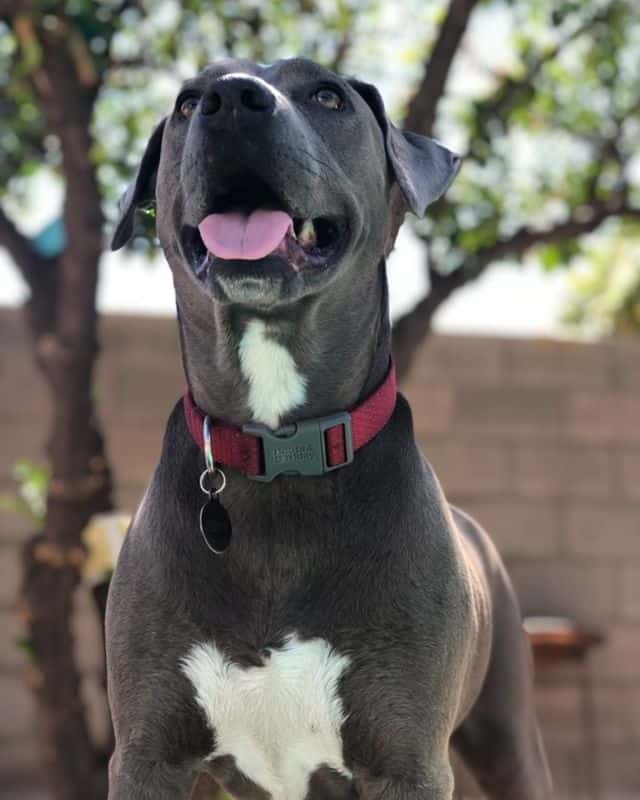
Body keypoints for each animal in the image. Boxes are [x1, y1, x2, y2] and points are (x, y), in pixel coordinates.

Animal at [107, 57, 552, 800]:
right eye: (187, 103)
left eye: (327, 95)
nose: (231, 99)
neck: (281, 448)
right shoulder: (147, 754)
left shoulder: (407, 758)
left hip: (509, 736)